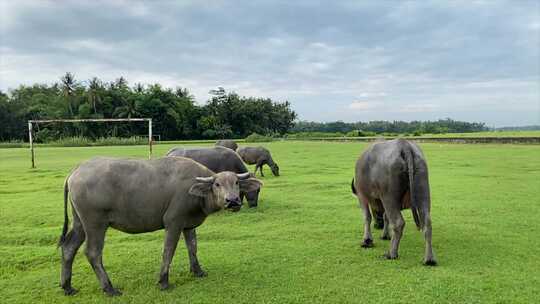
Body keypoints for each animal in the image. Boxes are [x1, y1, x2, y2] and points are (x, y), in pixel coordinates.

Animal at [59, 158, 262, 296]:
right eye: (217, 184)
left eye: (236, 182)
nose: (232, 201)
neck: (195, 191)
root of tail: (76, 171)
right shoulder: (173, 222)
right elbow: (168, 250)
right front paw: (163, 281)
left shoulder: (188, 225)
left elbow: (193, 247)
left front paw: (197, 271)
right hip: (95, 224)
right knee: (93, 252)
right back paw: (109, 288)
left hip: (80, 223)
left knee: (68, 247)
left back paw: (67, 286)